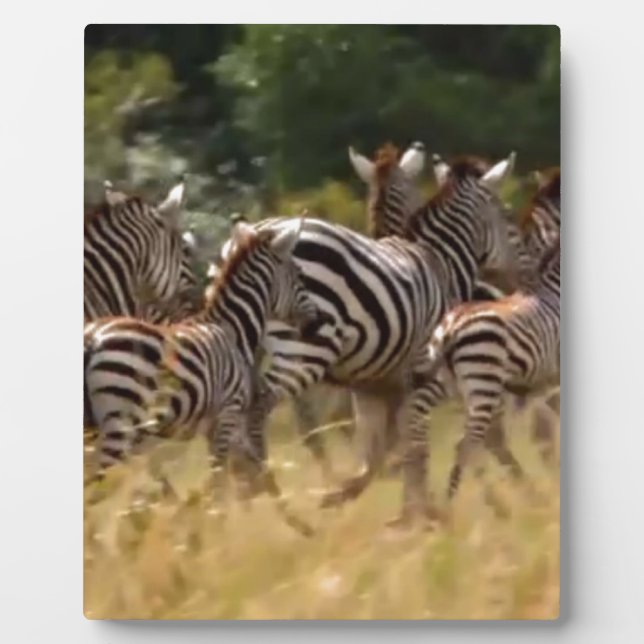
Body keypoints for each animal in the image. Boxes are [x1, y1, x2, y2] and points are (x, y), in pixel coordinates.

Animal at [84, 217, 328, 533]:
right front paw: (215, 530)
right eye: (298, 274)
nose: (318, 322)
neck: (231, 329)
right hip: (119, 426)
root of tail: (93, 338)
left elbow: (248, 469)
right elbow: (219, 481)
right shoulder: (227, 415)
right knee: (94, 489)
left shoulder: (219, 424)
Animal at [230, 152, 521, 506]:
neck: (440, 262)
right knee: (263, 411)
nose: (513, 282)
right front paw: (420, 505)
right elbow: (412, 442)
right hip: (306, 350)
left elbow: (381, 446)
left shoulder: (372, 386)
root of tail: (257, 231)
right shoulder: (424, 376)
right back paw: (268, 488)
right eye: (507, 215)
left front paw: (354, 492)